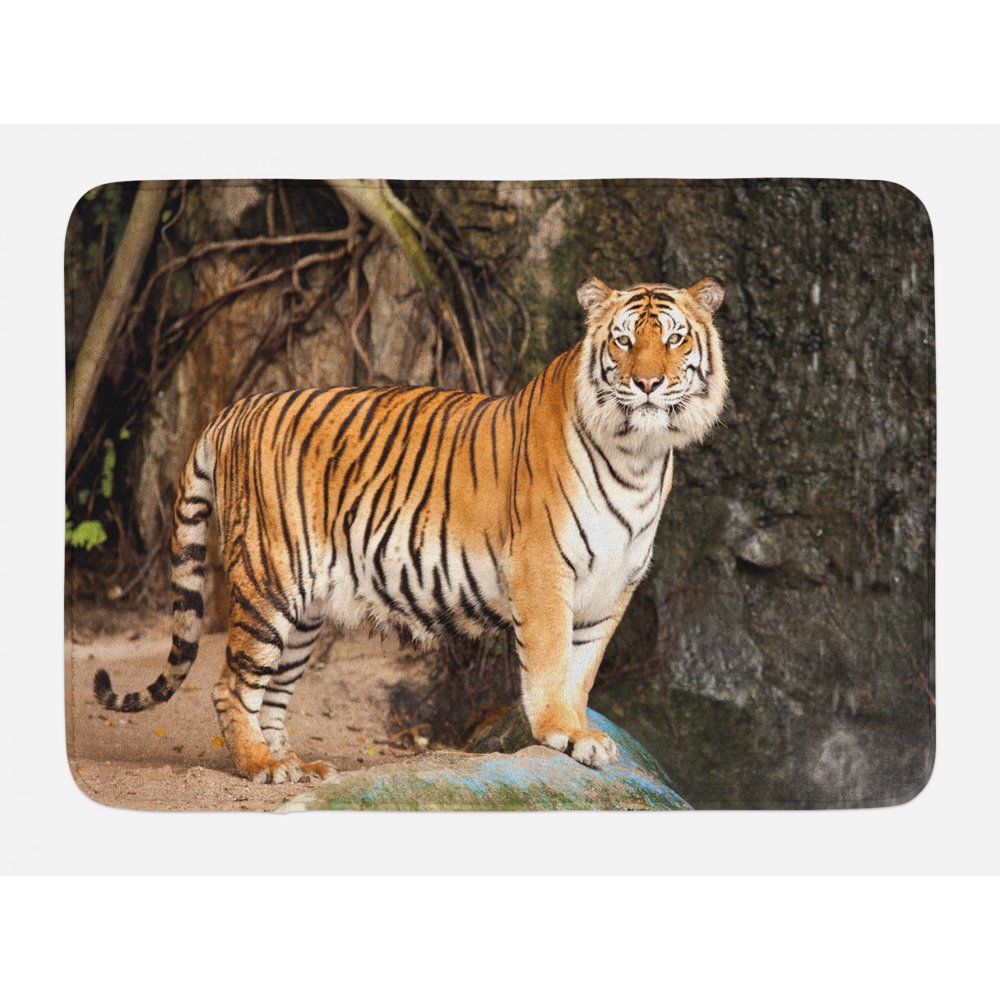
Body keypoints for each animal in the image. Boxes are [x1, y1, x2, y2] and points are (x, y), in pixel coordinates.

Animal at [94, 275, 728, 783]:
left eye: (674, 339)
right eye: (624, 341)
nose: (647, 384)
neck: (639, 455)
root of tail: (234, 410)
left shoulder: (614, 585)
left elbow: (582, 671)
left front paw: (580, 733)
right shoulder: (544, 570)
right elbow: (550, 662)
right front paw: (562, 733)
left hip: (305, 610)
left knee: (272, 694)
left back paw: (292, 763)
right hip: (270, 580)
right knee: (232, 685)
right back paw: (260, 768)